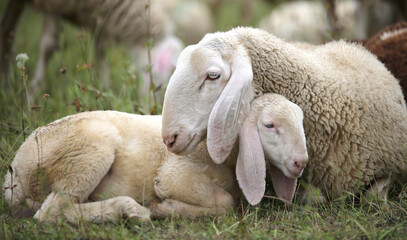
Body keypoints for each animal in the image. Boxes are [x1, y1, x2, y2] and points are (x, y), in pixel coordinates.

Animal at [2, 93, 310, 223]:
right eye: (269, 125)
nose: (301, 163)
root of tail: (14, 172)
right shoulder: (175, 174)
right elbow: (226, 203)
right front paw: (166, 208)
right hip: (87, 151)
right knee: (52, 212)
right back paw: (130, 210)